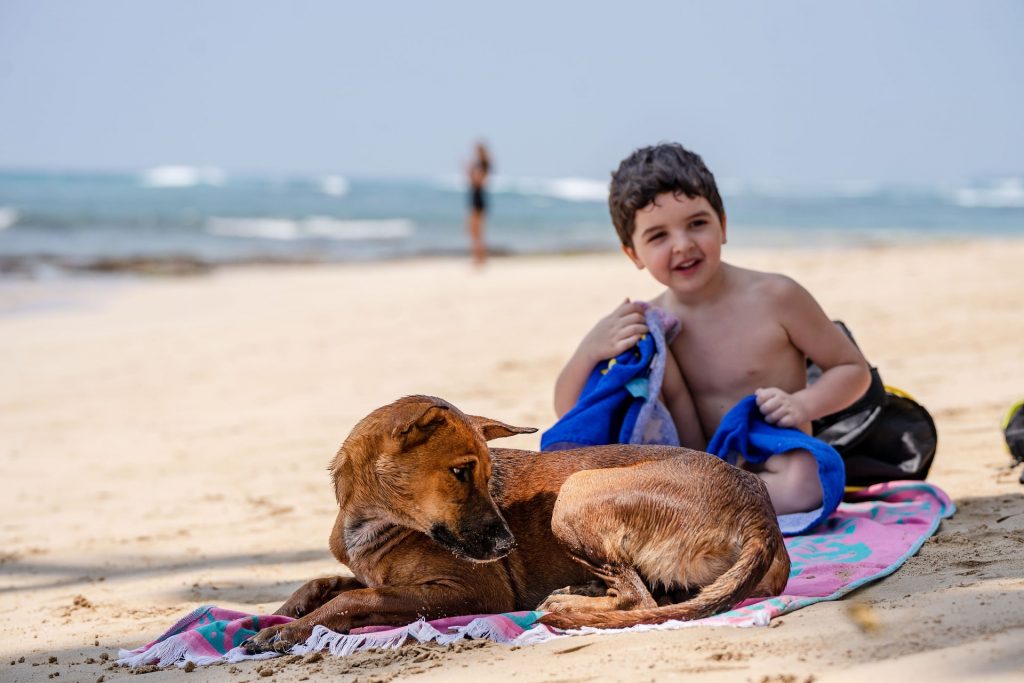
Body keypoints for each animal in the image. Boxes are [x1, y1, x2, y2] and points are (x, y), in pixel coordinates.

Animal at [243, 395, 786, 651]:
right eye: (461, 472)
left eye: (487, 474)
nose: (507, 547)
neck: (372, 520)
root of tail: (761, 514)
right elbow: (324, 583)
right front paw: (281, 615)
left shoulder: (472, 592)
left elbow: (353, 599)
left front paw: (291, 632)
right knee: (654, 596)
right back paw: (585, 593)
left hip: (575, 494)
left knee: (640, 598)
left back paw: (571, 601)